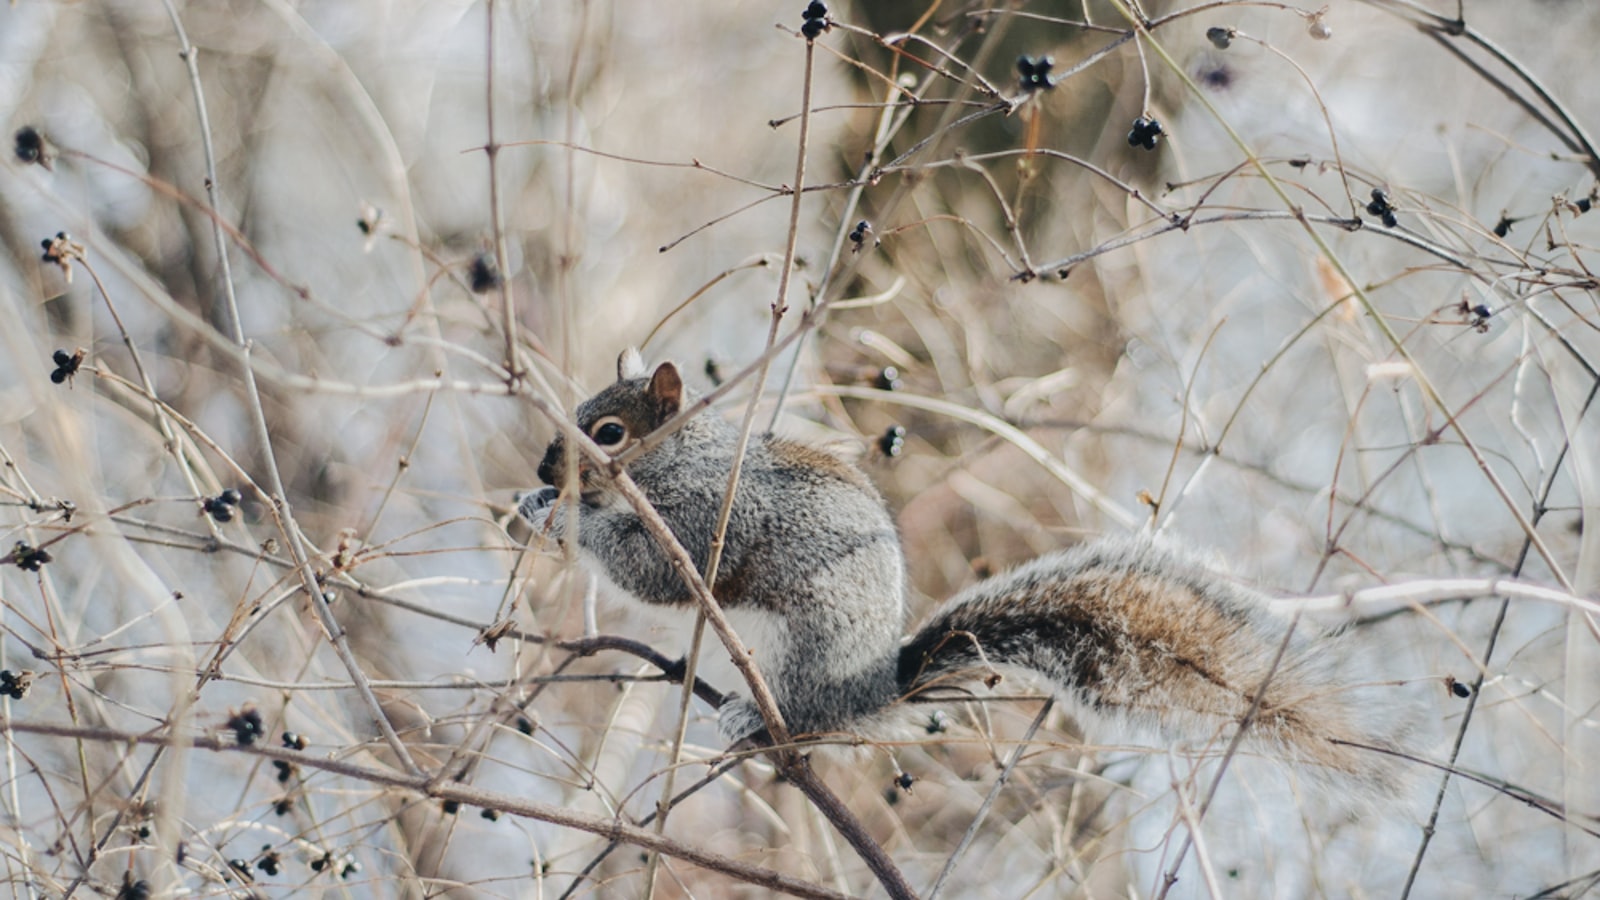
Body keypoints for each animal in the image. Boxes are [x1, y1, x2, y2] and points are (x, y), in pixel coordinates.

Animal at [521, 350, 1414, 791]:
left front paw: (568, 518)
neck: (680, 461)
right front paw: (534, 507)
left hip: (806, 650)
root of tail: (875, 686)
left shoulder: (714, 519)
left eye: (608, 431)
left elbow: (655, 571)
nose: (543, 466)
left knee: (810, 718)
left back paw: (758, 721)